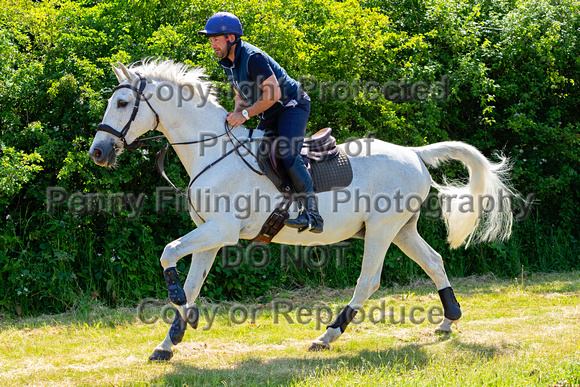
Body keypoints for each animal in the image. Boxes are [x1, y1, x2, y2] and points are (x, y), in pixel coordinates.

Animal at [88, 59, 516, 360]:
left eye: (122, 102)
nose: (98, 152)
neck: (213, 150)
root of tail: (413, 153)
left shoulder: (222, 231)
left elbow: (168, 253)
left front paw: (178, 311)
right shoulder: (210, 234)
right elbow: (191, 281)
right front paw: (170, 340)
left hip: (382, 229)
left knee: (368, 281)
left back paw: (326, 336)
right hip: (402, 229)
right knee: (434, 261)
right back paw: (448, 320)